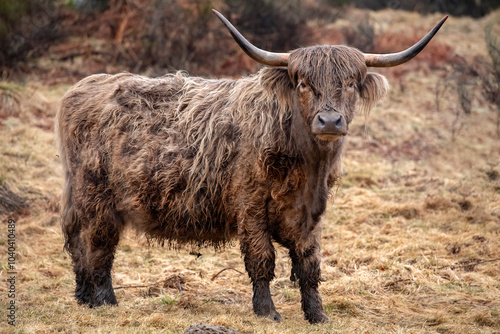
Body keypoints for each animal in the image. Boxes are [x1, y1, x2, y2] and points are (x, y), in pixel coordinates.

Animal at [56, 10, 448, 324]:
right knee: (98, 244)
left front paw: (318, 315)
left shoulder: (311, 213)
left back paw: (83, 297)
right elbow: (262, 258)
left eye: (351, 84)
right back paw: (104, 300)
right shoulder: (251, 205)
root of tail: (84, 85)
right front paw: (267, 311)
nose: (330, 121)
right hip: (97, 195)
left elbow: (309, 264)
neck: (307, 166)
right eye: (303, 84)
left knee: (77, 240)